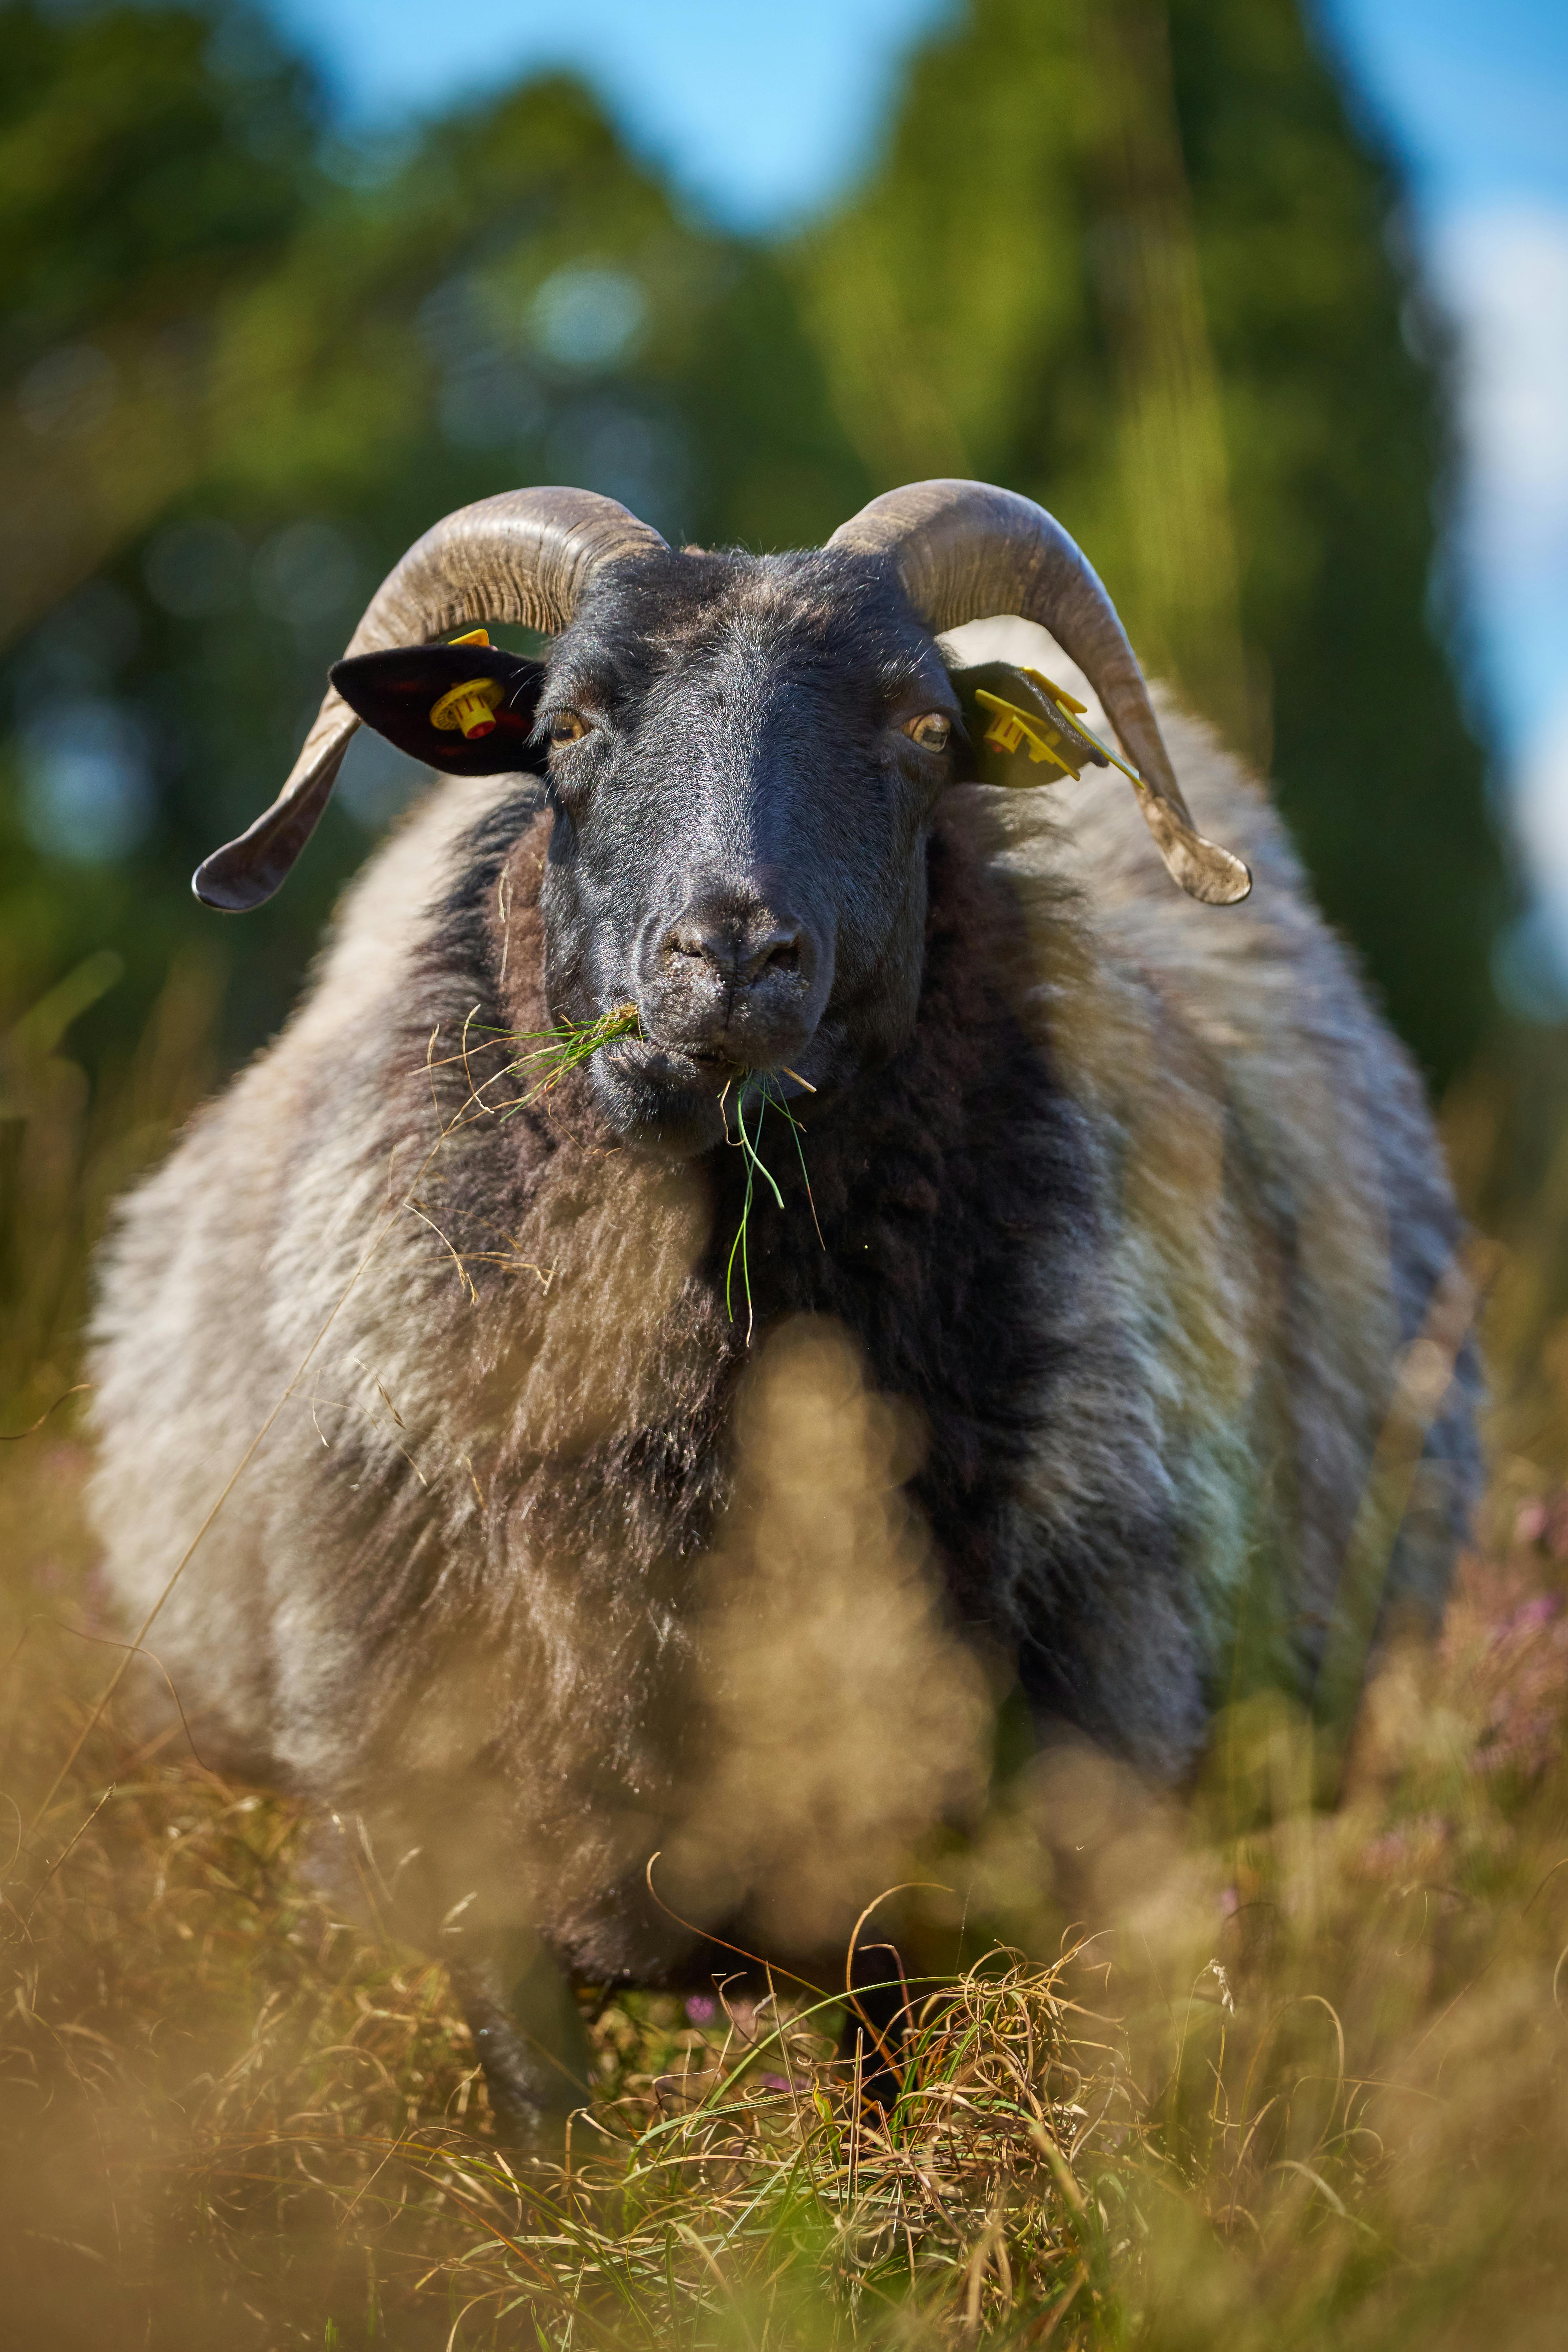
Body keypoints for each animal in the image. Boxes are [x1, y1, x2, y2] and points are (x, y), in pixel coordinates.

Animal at [88, 479, 1480, 2129]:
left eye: (923, 728)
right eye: (563, 727)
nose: (732, 955)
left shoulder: (948, 1843)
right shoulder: (453, 1823)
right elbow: (548, 2129)